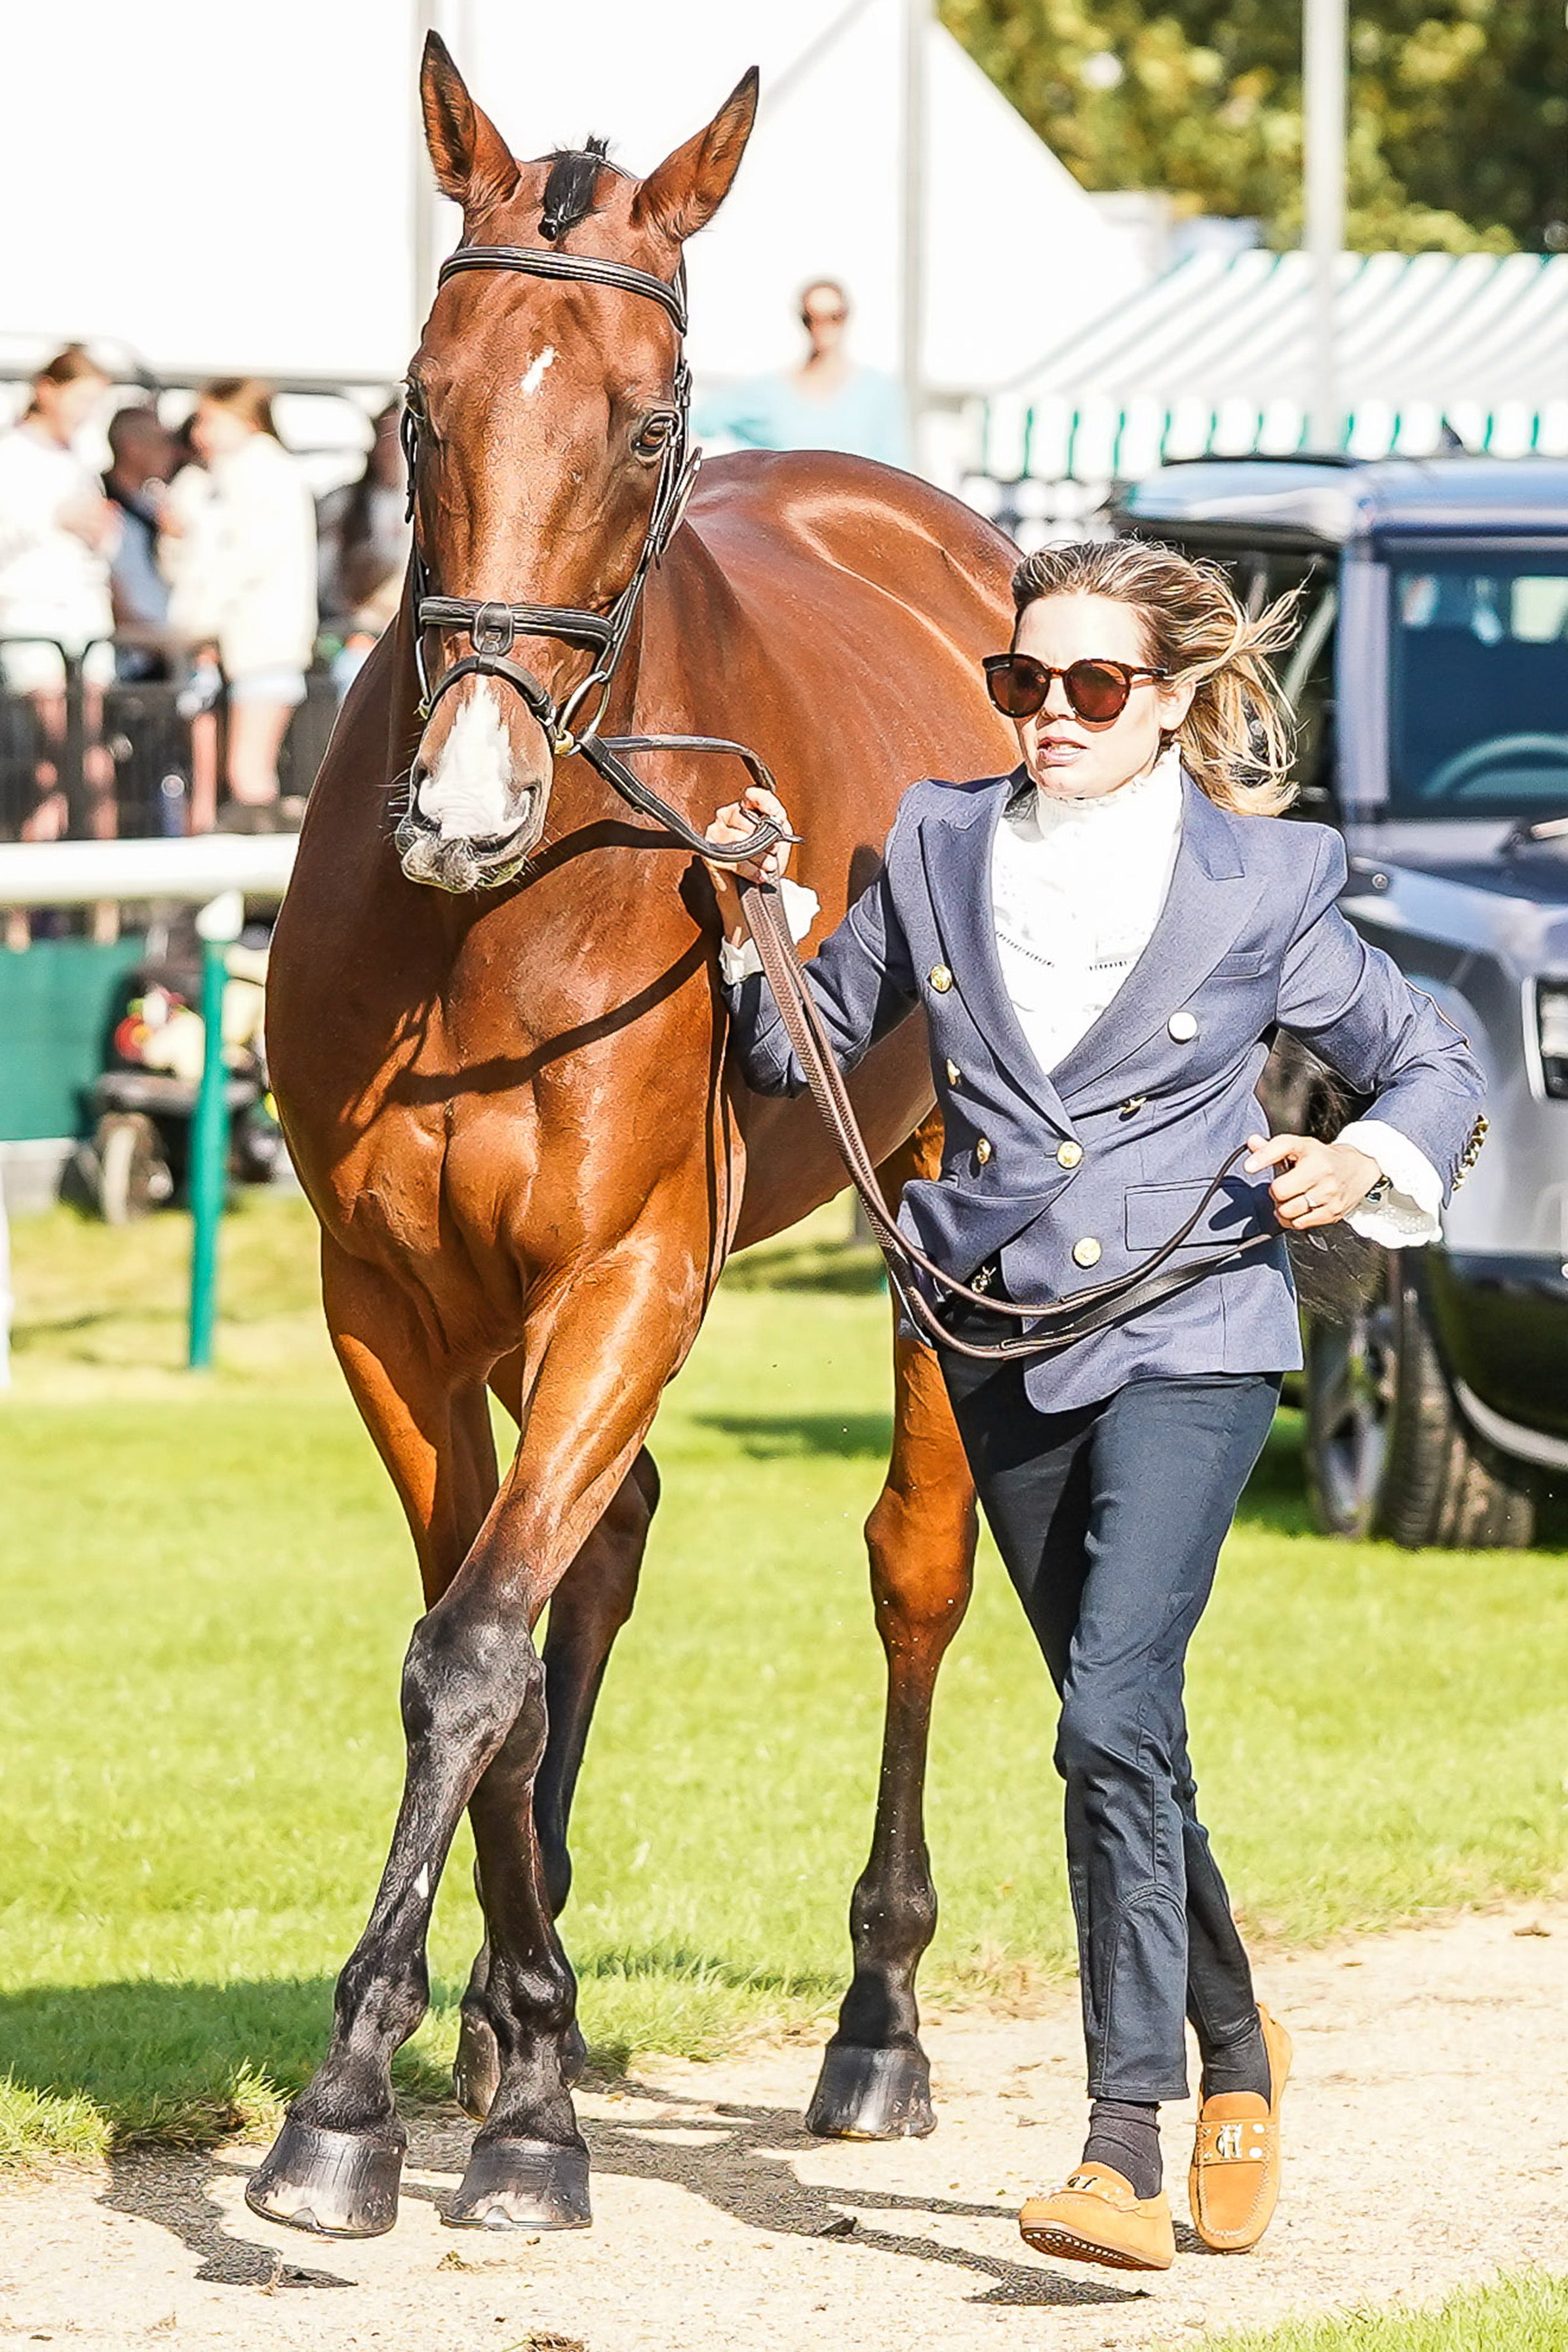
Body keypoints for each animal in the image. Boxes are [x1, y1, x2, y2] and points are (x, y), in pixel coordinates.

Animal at [255, 41, 1020, 2239]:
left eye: (655, 419)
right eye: (416, 397)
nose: (465, 800)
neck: (493, 926)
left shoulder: (631, 1271)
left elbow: (476, 1645)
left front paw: (390, 2100)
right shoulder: (394, 1297)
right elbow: (488, 1654)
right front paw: (487, 2055)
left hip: (926, 1204)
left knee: (914, 1567)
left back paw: (876, 2023)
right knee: (597, 1553)